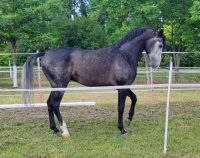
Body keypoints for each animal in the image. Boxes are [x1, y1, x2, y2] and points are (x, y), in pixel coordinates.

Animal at [21, 27, 166, 138]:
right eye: (160, 45)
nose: (156, 65)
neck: (124, 55)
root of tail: (45, 53)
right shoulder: (122, 88)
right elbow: (120, 107)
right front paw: (122, 130)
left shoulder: (124, 87)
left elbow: (135, 98)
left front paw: (129, 118)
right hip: (60, 86)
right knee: (55, 105)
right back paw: (65, 131)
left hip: (55, 86)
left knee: (49, 103)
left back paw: (55, 129)